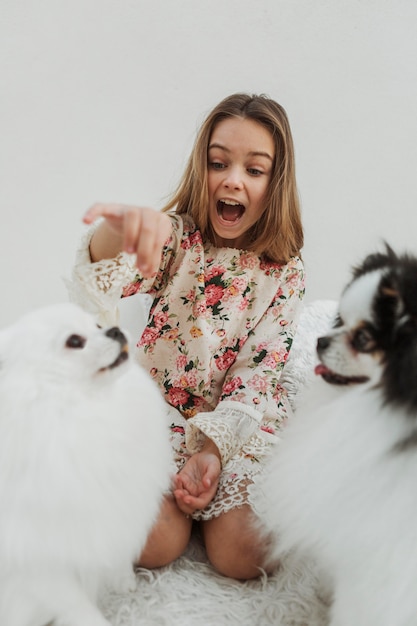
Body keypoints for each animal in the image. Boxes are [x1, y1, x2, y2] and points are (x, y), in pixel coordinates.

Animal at [0, 302, 171, 624]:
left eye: (97, 325)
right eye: (74, 341)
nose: (115, 330)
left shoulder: (114, 515)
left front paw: (124, 581)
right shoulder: (41, 560)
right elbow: (77, 606)